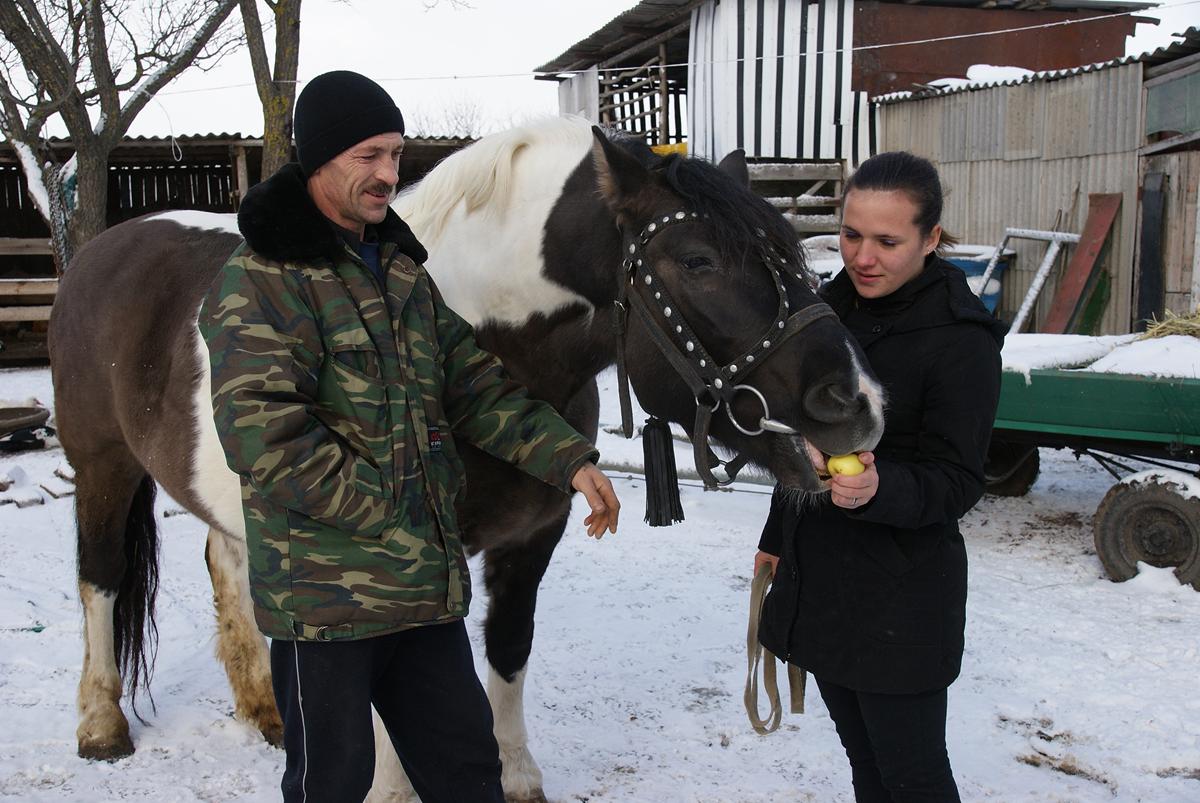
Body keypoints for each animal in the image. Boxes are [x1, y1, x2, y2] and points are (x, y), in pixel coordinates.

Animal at [49, 115, 883, 796]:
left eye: (795, 254)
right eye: (698, 259)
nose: (861, 403)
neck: (487, 334)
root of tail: (103, 248)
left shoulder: (531, 539)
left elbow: (508, 650)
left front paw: (517, 773)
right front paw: (391, 790)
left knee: (229, 566)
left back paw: (266, 711)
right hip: (101, 465)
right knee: (100, 578)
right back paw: (99, 725)